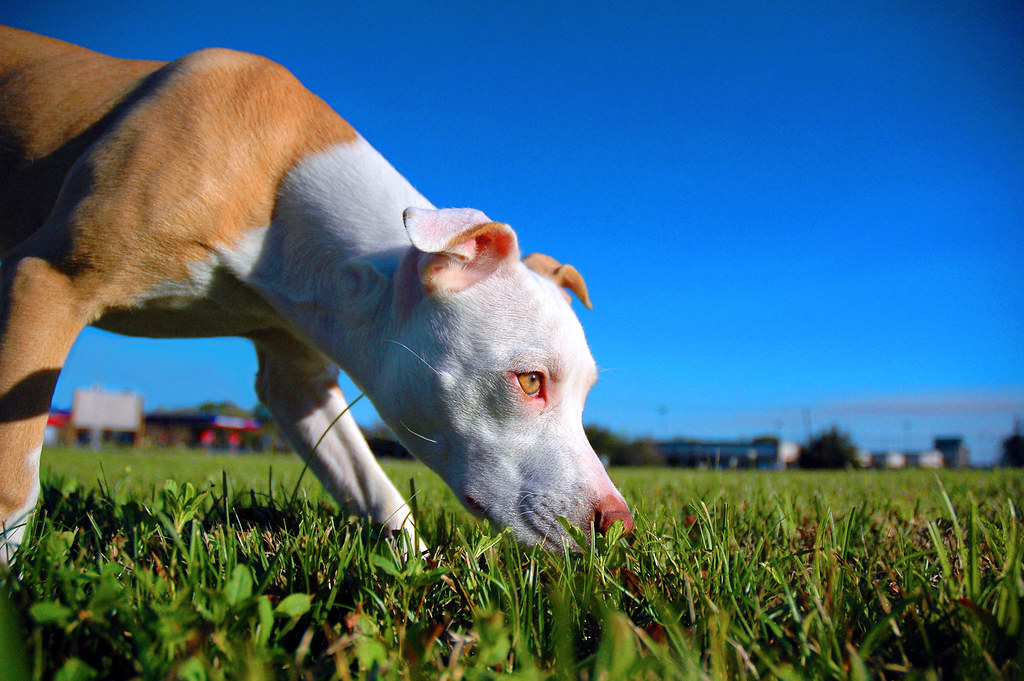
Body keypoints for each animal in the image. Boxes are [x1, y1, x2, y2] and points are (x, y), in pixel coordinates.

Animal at [0, 25, 630, 557]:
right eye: (530, 381)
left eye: (587, 395)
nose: (619, 524)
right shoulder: (46, 279)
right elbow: (14, 479)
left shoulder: (296, 377)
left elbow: (374, 488)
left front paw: (421, 572)